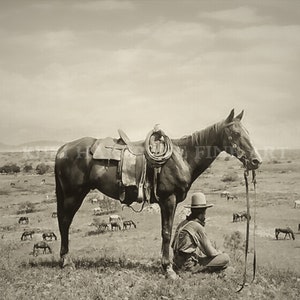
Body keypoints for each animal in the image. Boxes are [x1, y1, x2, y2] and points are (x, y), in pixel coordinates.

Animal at [55, 109, 262, 278]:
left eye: (248, 132)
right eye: (236, 133)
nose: (256, 160)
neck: (181, 157)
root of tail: (63, 149)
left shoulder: (173, 201)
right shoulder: (168, 200)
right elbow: (166, 233)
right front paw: (168, 269)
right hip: (74, 195)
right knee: (65, 222)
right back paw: (66, 261)